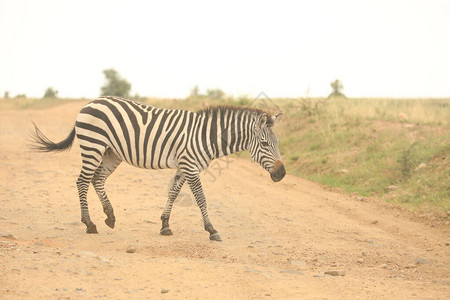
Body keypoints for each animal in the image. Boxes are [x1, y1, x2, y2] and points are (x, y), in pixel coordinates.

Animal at [30, 96, 284, 241]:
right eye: (264, 144)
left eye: (278, 143)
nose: (282, 174)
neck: (206, 136)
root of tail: (90, 102)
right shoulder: (190, 166)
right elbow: (201, 198)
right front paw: (211, 229)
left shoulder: (183, 166)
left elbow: (172, 192)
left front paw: (165, 225)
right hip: (93, 145)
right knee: (82, 181)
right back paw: (89, 223)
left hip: (112, 152)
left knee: (97, 179)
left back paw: (109, 217)